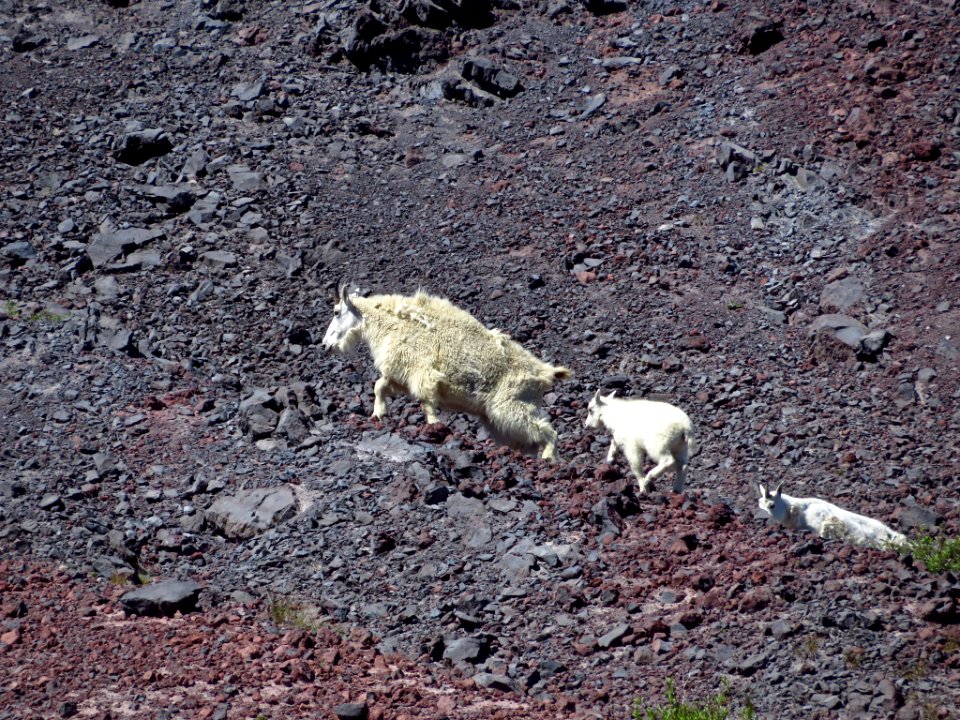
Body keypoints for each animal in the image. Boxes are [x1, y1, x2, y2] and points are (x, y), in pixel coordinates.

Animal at [322, 284, 568, 458]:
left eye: (336, 311)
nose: (325, 345)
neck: (390, 325)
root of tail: (545, 374)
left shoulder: (423, 374)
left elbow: (426, 402)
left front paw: (434, 427)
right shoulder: (402, 377)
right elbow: (380, 386)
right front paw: (379, 414)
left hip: (510, 407)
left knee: (548, 431)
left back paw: (548, 460)